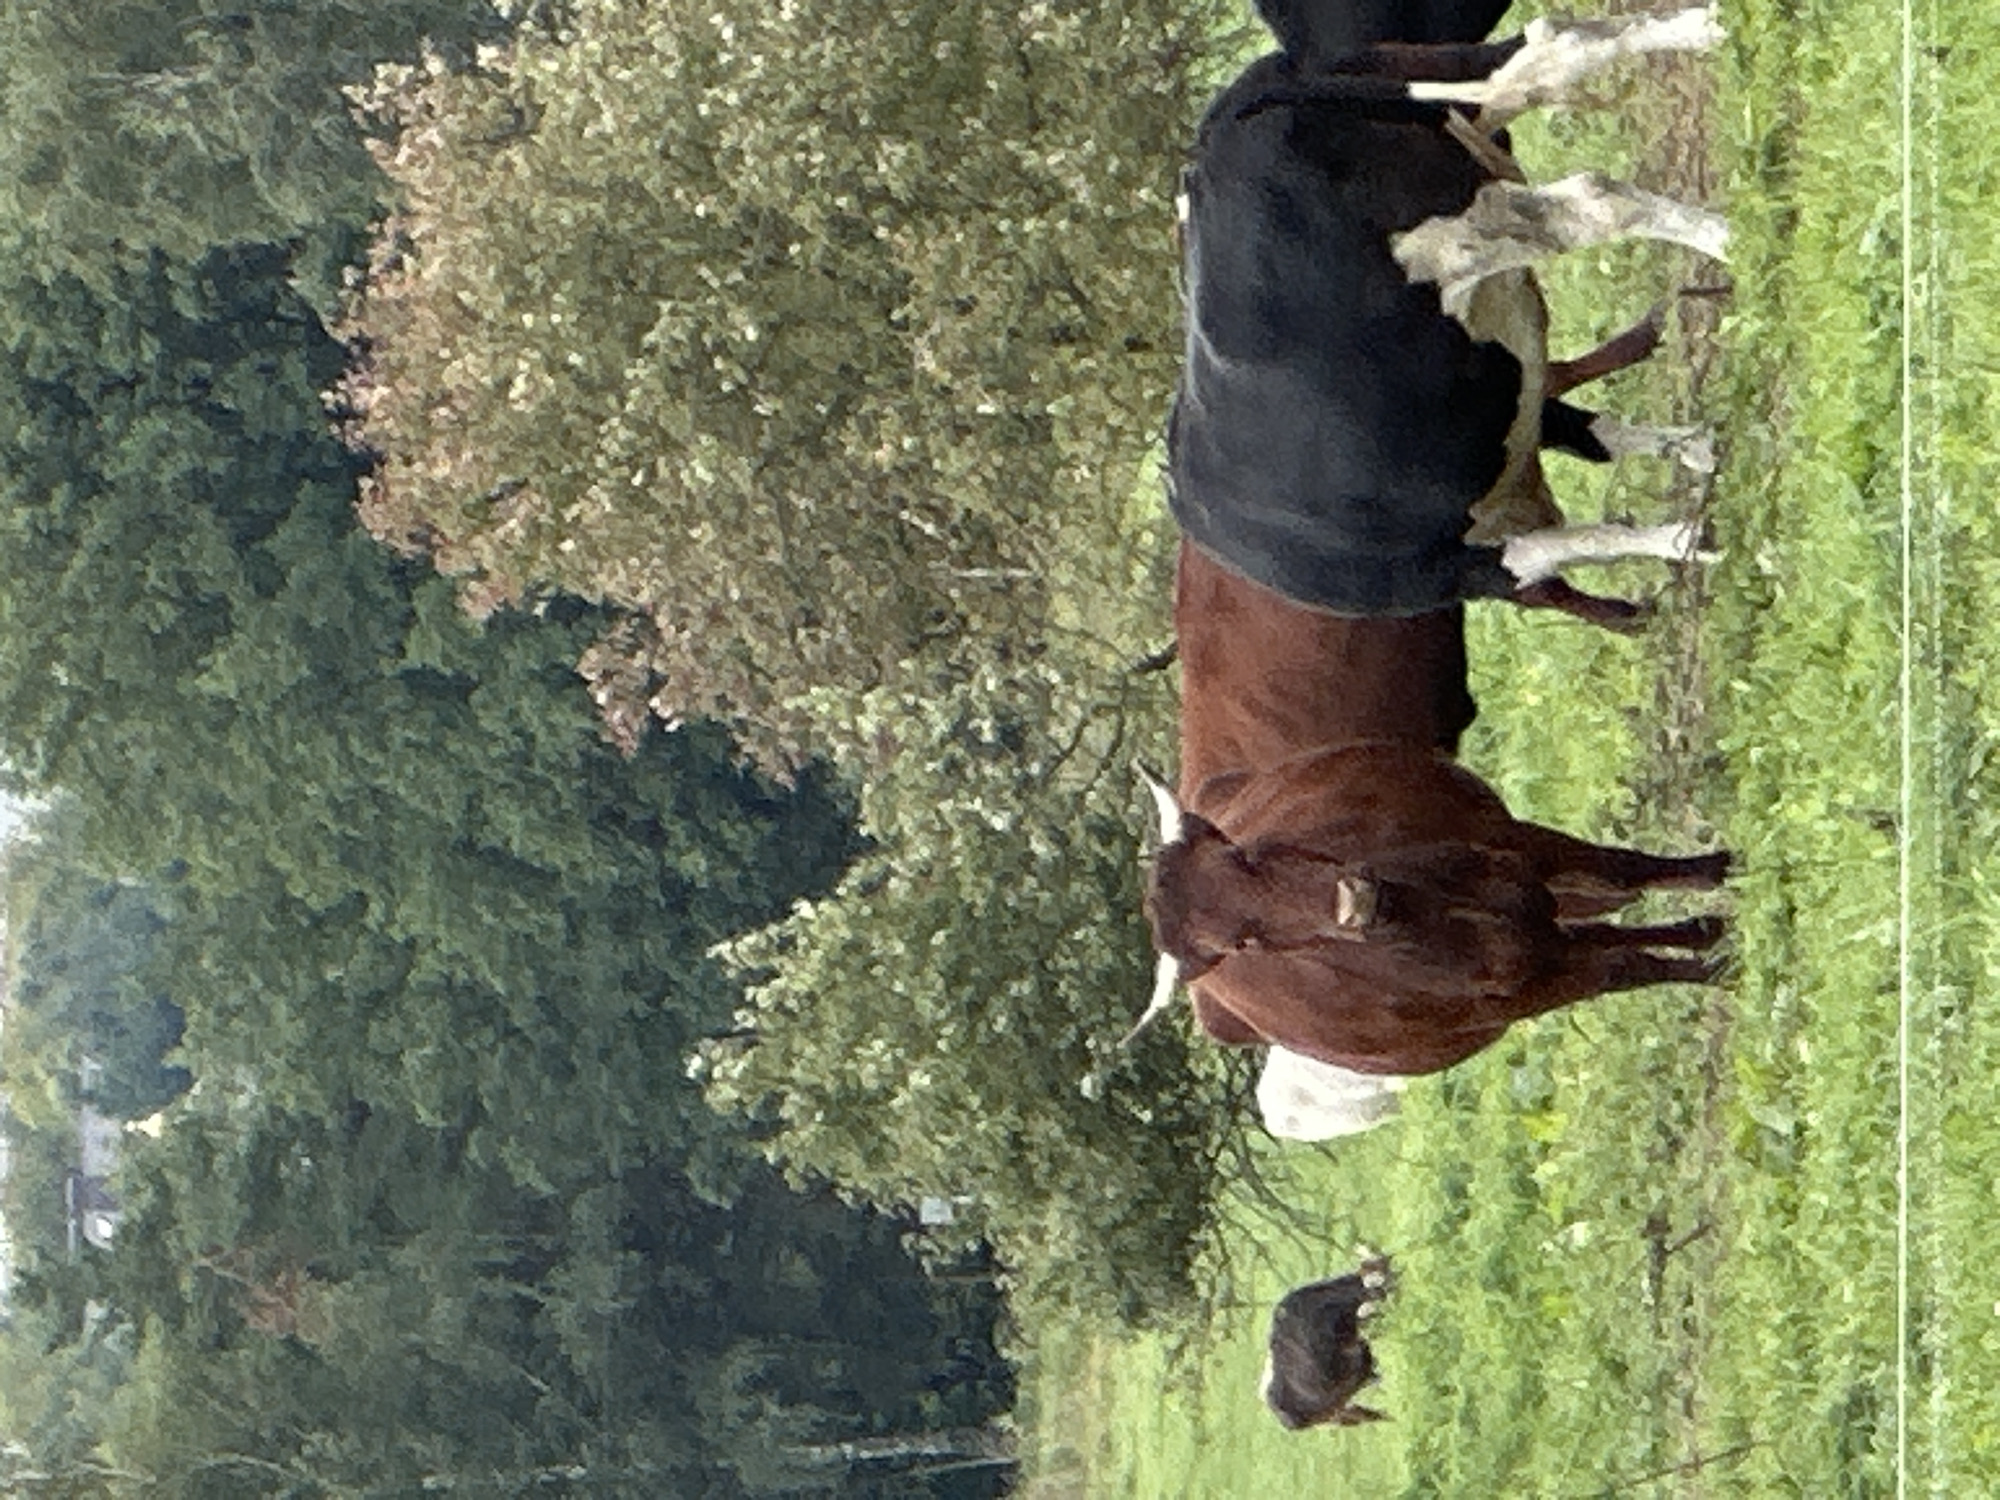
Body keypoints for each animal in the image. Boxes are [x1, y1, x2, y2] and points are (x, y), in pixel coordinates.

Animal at [1132, 2, 1732, 1078]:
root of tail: (1219, 134)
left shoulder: (1470, 549)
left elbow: (1566, 537)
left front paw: (1683, 530)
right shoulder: (1504, 435)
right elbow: (1588, 458)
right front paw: (1692, 474)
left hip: (1442, 230)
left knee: (1572, 198)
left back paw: (1715, 224)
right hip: (1438, 114)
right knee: (1547, 71)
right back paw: (1699, 46)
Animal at [1264, 1253, 1397, 1429]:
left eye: (1388, 1267)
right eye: (1380, 1277)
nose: (1397, 1282)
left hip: (1335, 1413)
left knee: (1363, 1413)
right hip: (1333, 1410)